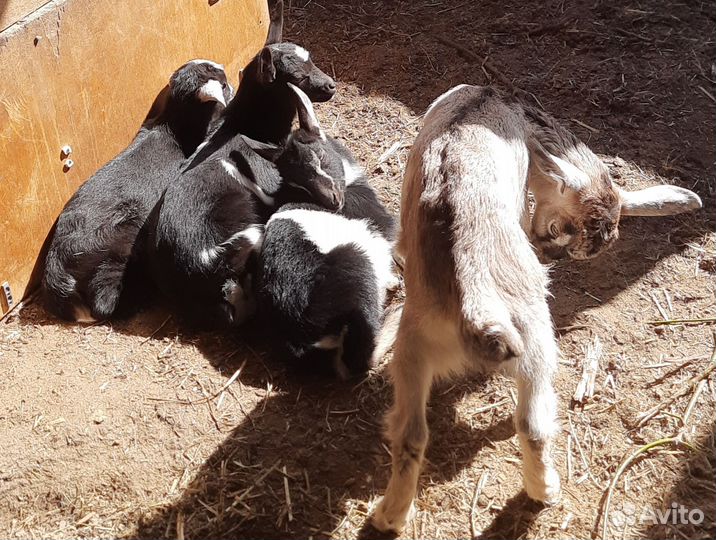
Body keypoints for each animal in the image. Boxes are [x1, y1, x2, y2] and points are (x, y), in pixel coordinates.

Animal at [41, 60, 232, 322]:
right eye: (222, 84)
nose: (231, 87)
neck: (172, 127)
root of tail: (56, 266)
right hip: (118, 242)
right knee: (104, 301)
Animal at [251, 85, 398, 378]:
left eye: (319, 157)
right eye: (299, 181)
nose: (331, 202)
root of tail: (310, 339)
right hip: (356, 263)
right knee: (363, 359)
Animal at [372, 84, 702, 533]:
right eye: (563, 226)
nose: (554, 252)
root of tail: (475, 302)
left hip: (414, 347)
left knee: (410, 434)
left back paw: (388, 517)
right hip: (532, 335)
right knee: (532, 422)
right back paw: (545, 491)